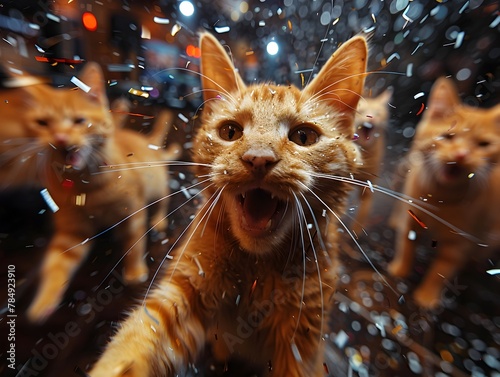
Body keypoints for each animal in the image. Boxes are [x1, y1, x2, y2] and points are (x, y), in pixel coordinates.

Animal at [0, 63, 180, 322]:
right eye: (43, 123)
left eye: (79, 121)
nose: (60, 138)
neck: (86, 186)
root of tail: (150, 144)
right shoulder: (71, 232)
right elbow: (56, 263)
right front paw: (43, 301)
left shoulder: (132, 211)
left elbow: (134, 243)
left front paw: (135, 270)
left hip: (157, 186)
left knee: (162, 202)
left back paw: (158, 220)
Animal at [87, 33, 368, 376]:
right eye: (230, 131)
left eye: (303, 136)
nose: (258, 158)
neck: (257, 268)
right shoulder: (182, 296)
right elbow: (136, 342)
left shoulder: (303, 339)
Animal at [388, 77, 500, 308]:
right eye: (448, 136)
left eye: (483, 144)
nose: (461, 154)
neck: (442, 199)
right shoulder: (412, 216)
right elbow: (406, 244)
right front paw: (399, 270)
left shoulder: (460, 243)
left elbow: (441, 271)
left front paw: (427, 296)